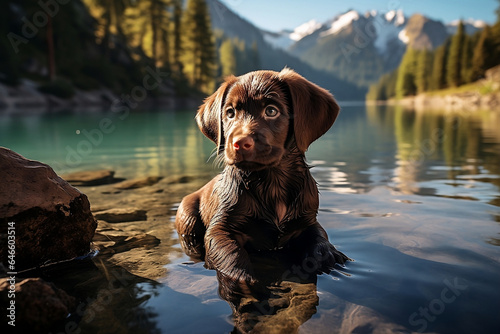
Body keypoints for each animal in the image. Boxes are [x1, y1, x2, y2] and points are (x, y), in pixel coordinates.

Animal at [175, 69, 348, 284]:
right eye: (230, 113)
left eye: (271, 111)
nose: (239, 143)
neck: (272, 182)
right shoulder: (220, 229)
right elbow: (232, 257)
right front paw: (247, 281)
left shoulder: (308, 221)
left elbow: (320, 242)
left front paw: (332, 256)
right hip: (187, 214)